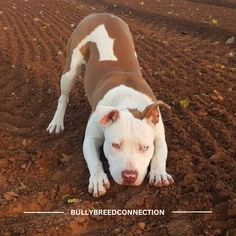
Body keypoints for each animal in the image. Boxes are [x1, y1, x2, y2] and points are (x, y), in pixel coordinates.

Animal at [47, 13, 174, 197]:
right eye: (115, 145)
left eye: (144, 147)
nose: (129, 176)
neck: (128, 101)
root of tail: (101, 14)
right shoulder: (90, 138)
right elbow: (94, 160)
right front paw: (98, 179)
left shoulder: (158, 133)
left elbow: (160, 153)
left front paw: (159, 173)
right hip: (71, 67)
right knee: (63, 97)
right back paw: (56, 122)